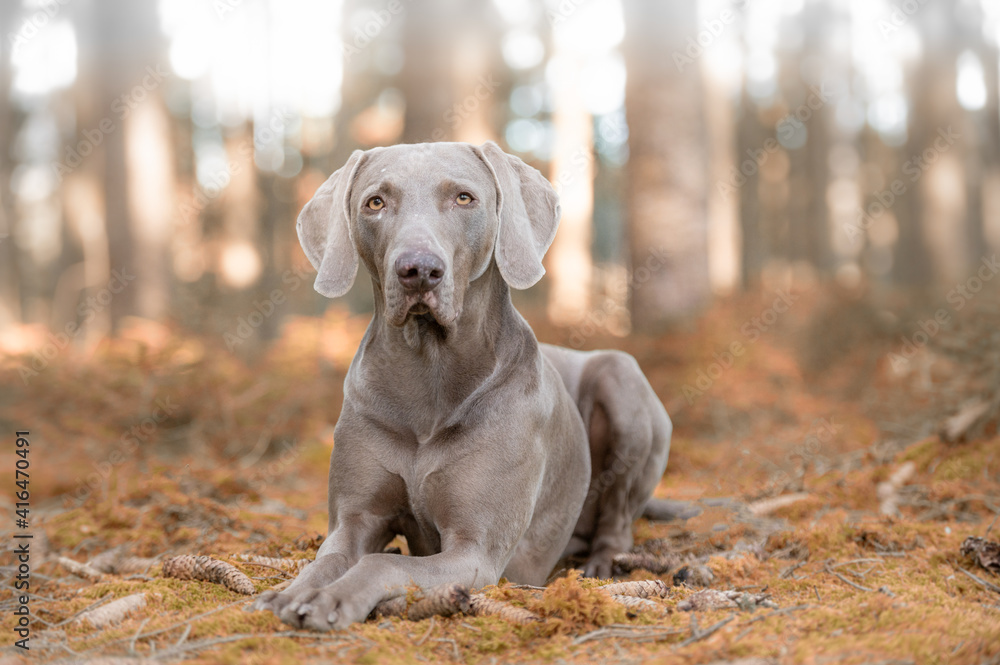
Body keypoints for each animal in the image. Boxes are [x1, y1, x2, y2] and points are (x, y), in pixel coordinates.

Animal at [254, 141, 688, 632]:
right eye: (375, 202)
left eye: (464, 198)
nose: (418, 269)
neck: (429, 375)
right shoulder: (353, 520)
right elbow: (326, 559)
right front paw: (295, 592)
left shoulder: (476, 550)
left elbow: (384, 562)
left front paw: (332, 599)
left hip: (621, 378)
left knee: (618, 520)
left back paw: (601, 567)